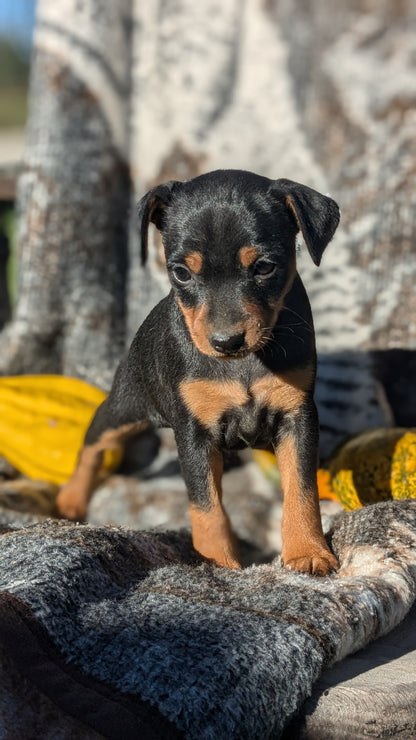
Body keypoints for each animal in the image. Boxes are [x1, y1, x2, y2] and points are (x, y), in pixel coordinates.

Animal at [56, 171, 342, 576]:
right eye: (181, 272)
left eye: (265, 267)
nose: (226, 341)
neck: (243, 363)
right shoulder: (193, 432)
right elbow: (207, 507)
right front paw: (217, 563)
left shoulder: (297, 416)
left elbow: (301, 489)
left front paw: (308, 551)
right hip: (125, 406)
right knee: (93, 443)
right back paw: (71, 499)